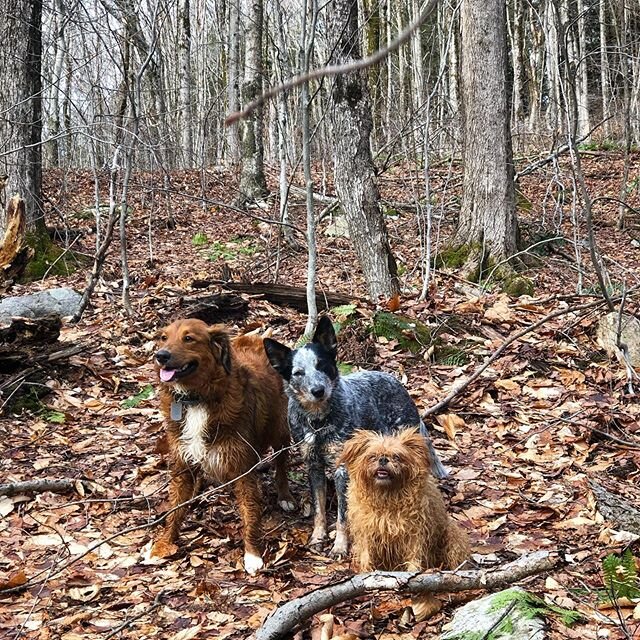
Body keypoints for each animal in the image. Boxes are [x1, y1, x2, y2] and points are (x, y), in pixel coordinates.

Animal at [152, 320, 296, 576]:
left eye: (188, 338)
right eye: (163, 338)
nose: (161, 356)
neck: (196, 399)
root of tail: (257, 339)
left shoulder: (242, 467)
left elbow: (249, 510)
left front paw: (252, 554)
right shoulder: (181, 464)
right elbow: (174, 509)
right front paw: (165, 543)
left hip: (279, 429)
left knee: (281, 464)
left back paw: (285, 495)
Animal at [262, 318, 448, 556]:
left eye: (322, 365)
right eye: (298, 373)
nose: (318, 390)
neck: (318, 422)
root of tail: (393, 379)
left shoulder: (342, 470)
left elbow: (343, 516)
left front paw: (340, 546)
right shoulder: (314, 466)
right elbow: (319, 510)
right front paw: (317, 537)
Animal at [340, 428, 470, 616]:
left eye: (397, 457)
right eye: (372, 456)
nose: (383, 459)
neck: (386, 496)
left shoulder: (415, 534)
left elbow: (414, 557)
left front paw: (413, 577)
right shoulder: (366, 532)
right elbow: (366, 554)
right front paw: (366, 574)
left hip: (453, 536)